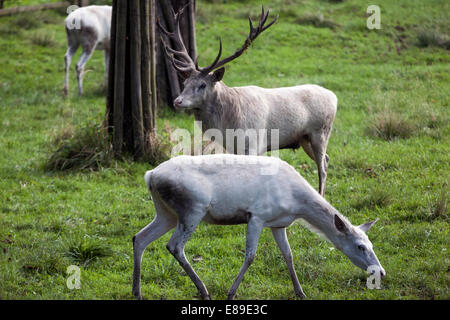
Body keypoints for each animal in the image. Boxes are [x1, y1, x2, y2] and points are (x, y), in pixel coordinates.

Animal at [132, 155, 384, 300]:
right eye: (360, 246)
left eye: (371, 243)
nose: (380, 271)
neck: (296, 204)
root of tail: (150, 175)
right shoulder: (257, 215)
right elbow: (251, 255)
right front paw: (231, 293)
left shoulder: (278, 223)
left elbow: (288, 255)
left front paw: (300, 292)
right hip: (193, 208)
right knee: (174, 246)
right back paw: (203, 291)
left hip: (166, 213)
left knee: (139, 238)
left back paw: (137, 291)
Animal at [158, 4, 338, 195]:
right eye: (184, 82)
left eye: (202, 84)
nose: (177, 101)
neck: (229, 126)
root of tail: (334, 97)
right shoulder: (233, 149)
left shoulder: (253, 145)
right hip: (304, 138)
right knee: (327, 159)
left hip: (321, 132)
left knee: (322, 166)